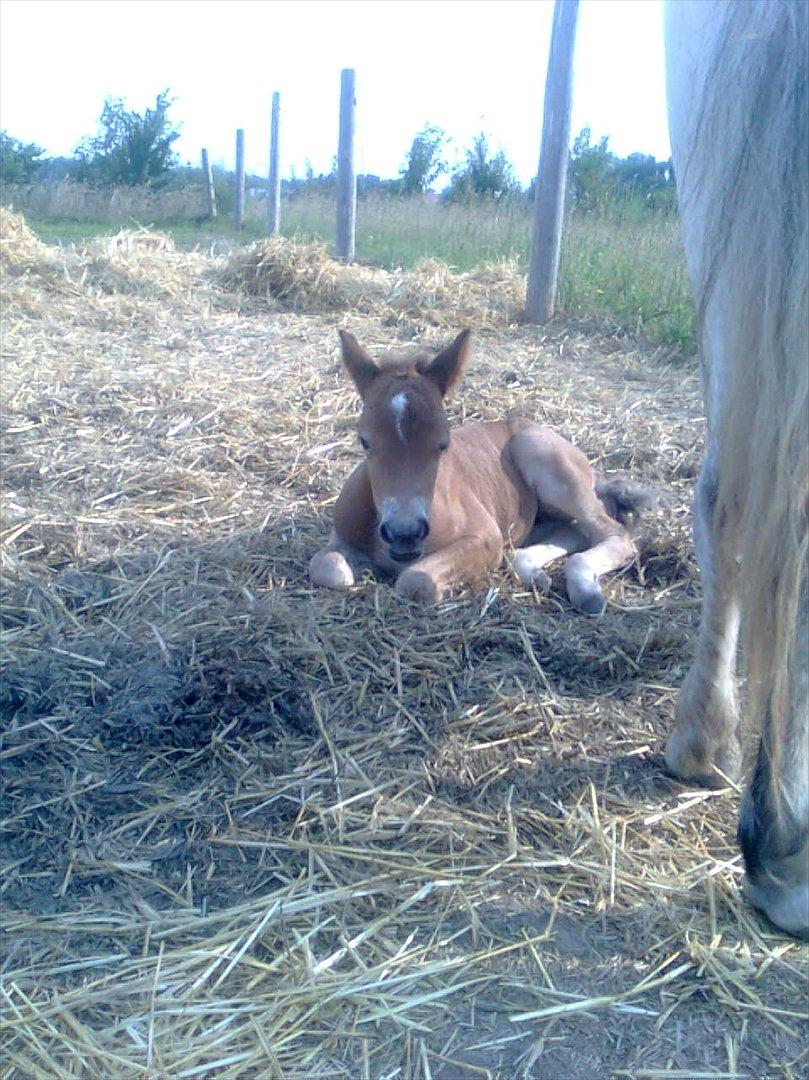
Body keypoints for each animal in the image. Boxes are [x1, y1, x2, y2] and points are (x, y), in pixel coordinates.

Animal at [308, 328, 648, 613]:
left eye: (443, 443)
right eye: (364, 441)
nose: (404, 534)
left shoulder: (486, 536)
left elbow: (415, 581)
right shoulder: (341, 537)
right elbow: (326, 568)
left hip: (544, 458)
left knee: (615, 533)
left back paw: (585, 589)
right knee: (572, 531)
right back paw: (535, 574)